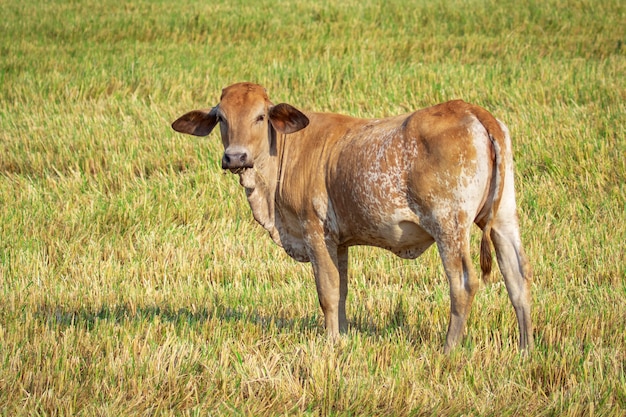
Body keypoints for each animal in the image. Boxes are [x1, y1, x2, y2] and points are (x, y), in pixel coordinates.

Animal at [172, 81, 532, 352]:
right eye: (221, 118)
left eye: (260, 117)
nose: (235, 157)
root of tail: (472, 110)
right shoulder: (339, 242)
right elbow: (342, 289)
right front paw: (342, 336)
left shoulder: (315, 232)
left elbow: (328, 291)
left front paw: (331, 342)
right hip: (503, 220)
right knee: (518, 279)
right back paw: (525, 348)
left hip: (449, 226)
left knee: (463, 284)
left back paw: (449, 349)